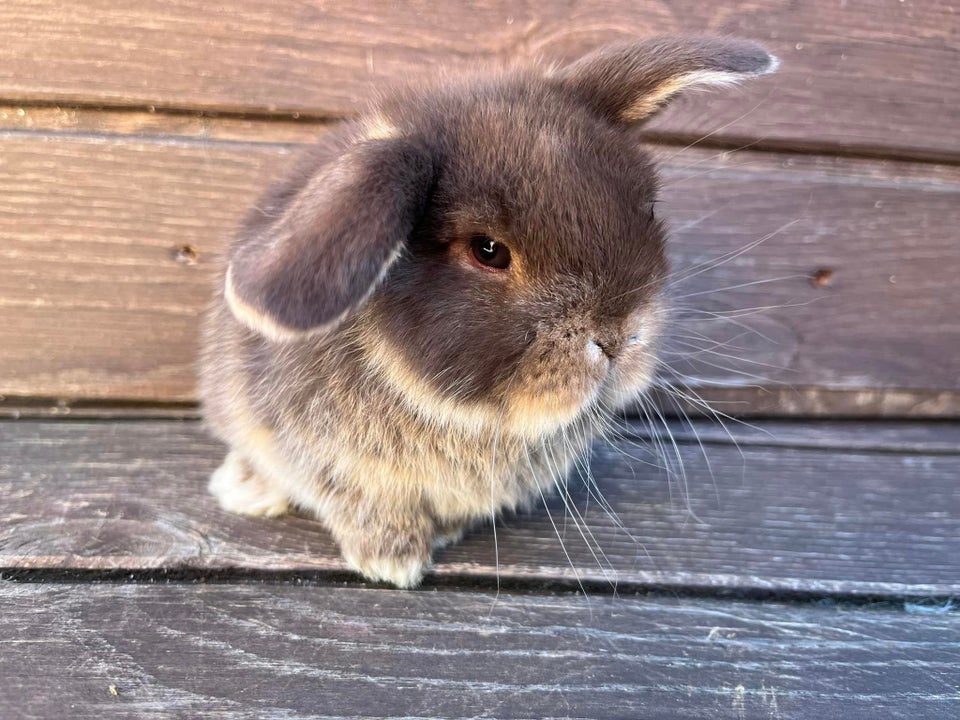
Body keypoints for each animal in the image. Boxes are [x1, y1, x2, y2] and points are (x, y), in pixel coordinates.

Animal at [199, 36, 776, 588]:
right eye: (488, 250)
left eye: (648, 211)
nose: (617, 340)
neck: (464, 416)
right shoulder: (328, 464)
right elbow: (359, 507)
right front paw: (392, 562)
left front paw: (443, 534)